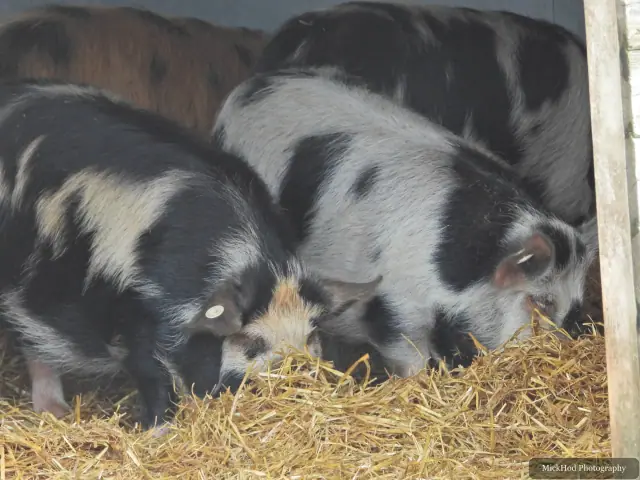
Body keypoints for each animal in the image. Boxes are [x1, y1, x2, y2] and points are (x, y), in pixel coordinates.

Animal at [0, 78, 380, 428]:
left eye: (312, 335)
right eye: (251, 343)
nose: (299, 372)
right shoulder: (136, 314)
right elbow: (153, 377)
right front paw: (159, 431)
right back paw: (56, 412)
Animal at [212, 66, 598, 376]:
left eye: (576, 305)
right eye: (540, 301)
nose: (561, 350)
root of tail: (248, 86)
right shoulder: (394, 306)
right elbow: (411, 358)